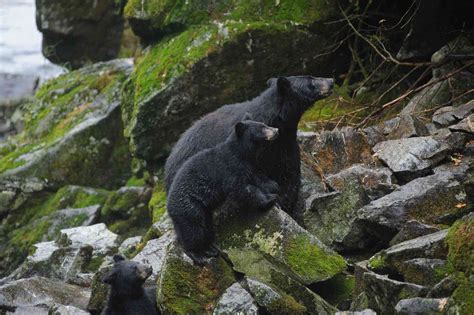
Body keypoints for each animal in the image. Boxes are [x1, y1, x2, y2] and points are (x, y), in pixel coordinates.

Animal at [168, 117, 282, 266]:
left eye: (264, 124)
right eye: (262, 127)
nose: (277, 130)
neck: (241, 153)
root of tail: (169, 207)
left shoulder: (249, 167)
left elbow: (258, 179)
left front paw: (274, 189)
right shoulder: (229, 170)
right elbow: (241, 189)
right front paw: (270, 199)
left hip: (204, 211)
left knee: (206, 228)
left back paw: (211, 249)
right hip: (189, 208)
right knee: (194, 231)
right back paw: (198, 255)